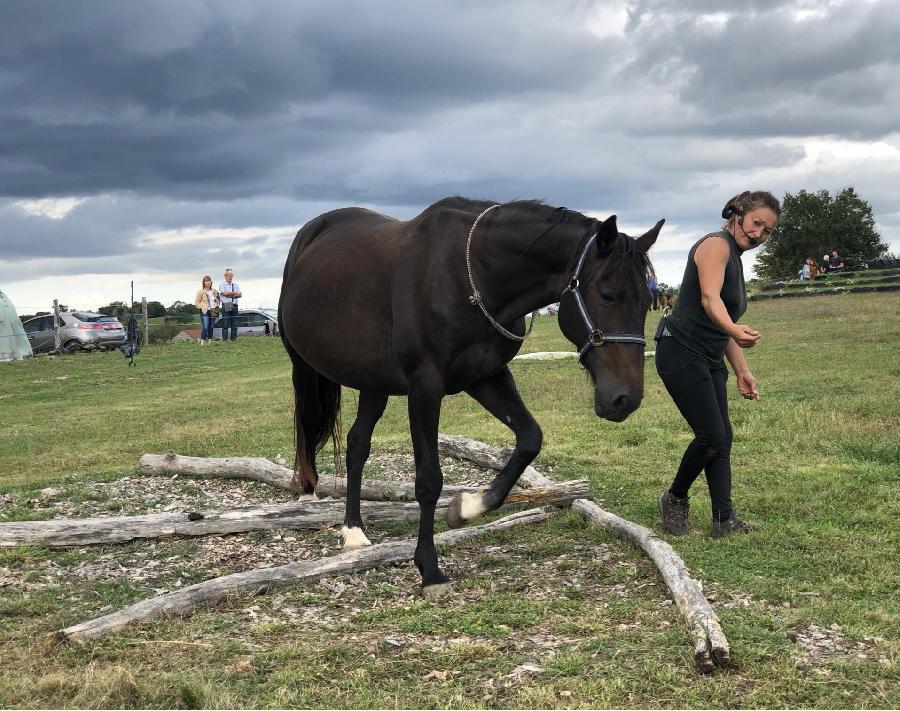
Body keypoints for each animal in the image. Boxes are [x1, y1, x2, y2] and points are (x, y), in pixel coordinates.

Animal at [278, 197, 664, 596]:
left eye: (649, 300)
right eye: (607, 295)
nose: (625, 399)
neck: (471, 275)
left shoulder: (487, 377)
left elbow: (530, 439)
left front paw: (468, 507)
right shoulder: (425, 388)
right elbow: (429, 480)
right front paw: (429, 568)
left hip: (375, 381)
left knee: (357, 445)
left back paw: (353, 530)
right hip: (304, 368)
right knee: (309, 425)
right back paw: (309, 494)